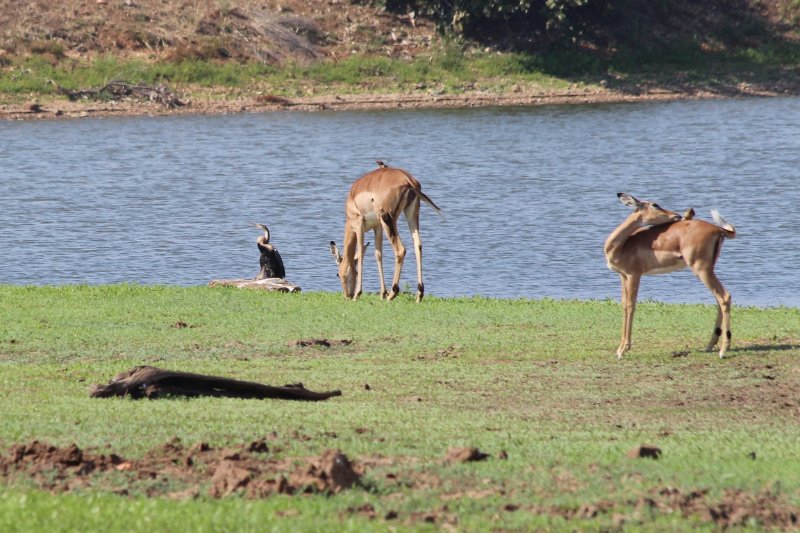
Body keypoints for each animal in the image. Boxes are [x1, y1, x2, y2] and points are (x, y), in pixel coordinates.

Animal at [330, 160, 440, 302]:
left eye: (338, 274)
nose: (347, 296)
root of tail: (408, 180)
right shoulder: (378, 227)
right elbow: (378, 254)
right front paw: (382, 293)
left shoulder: (358, 225)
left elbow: (361, 253)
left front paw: (358, 294)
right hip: (411, 215)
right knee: (418, 245)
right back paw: (419, 295)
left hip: (388, 220)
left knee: (400, 250)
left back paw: (393, 293)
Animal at [608, 191, 736, 358]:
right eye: (655, 204)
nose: (677, 215)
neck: (622, 246)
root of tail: (718, 229)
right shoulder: (623, 276)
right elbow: (624, 305)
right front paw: (619, 348)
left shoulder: (634, 275)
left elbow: (631, 305)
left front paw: (623, 350)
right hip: (708, 270)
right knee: (719, 299)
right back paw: (709, 346)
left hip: (701, 269)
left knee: (724, 296)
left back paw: (723, 351)